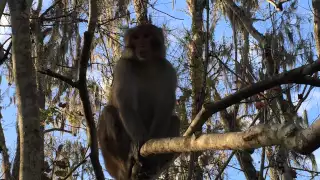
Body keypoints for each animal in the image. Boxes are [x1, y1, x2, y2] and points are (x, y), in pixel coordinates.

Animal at [96, 24, 181, 180]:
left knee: (174, 120)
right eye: (136, 37)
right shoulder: (123, 66)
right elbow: (126, 104)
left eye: (146, 36)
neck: (146, 64)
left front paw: (151, 146)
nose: (141, 44)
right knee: (109, 112)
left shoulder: (168, 70)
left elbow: (164, 108)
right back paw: (127, 164)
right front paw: (138, 141)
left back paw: (150, 168)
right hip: (111, 163)